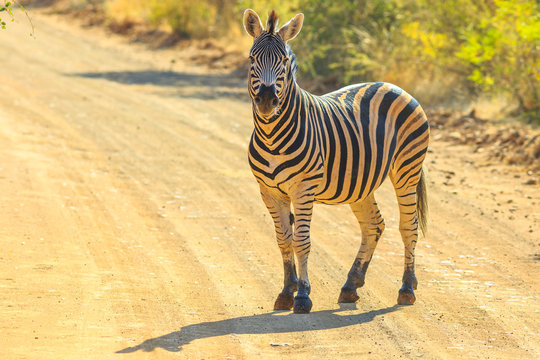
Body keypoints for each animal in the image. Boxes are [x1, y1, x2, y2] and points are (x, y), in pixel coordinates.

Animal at [243, 7, 428, 312]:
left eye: (284, 61)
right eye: (252, 58)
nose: (268, 100)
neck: (271, 135)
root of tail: (393, 85)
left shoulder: (303, 189)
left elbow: (301, 241)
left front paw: (303, 296)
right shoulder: (269, 192)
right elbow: (283, 240)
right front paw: (286, 292)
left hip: (407, 170)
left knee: (408, 227)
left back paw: (406, 288)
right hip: (362, 183)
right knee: (374, 225)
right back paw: (351, 285)